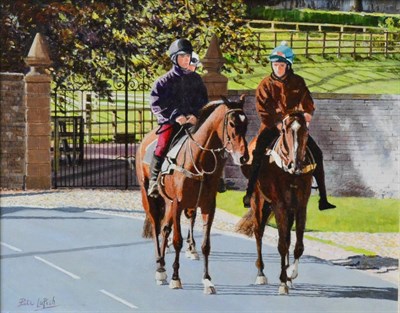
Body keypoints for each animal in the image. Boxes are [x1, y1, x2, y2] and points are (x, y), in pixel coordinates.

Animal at [138, 95, 250, 292]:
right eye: (231, 123)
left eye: (246, 123)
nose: (243, 157)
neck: (200, 159)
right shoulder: (178, 203)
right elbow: (177, 240)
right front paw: (175, 278)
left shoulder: (207, 206)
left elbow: (206, 245)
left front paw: (207, 279)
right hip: (150, 199)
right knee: (157, 228)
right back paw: (160, 268)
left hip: (169, 203)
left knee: (165, 229)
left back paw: (164, 265)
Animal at [234, 111, 316, 294]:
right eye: (285, 131)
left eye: (306, 132)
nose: (296, 165)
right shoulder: (279, 206)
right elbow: (281, 245)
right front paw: (283, 282)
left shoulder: (300, 207)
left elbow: (297, 244)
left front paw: (290, 274)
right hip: (259, 203)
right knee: (259, 233)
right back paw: (260, 274)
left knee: (287, 238)